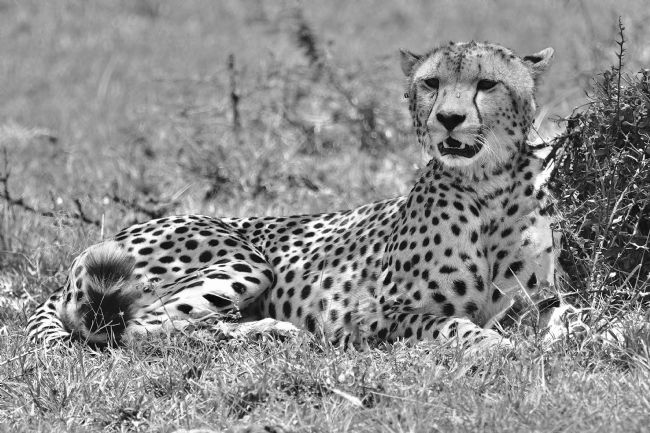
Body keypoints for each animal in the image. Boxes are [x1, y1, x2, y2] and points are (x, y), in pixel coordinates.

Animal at [26, 41, 578, 351]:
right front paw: (495, 345)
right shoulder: (370, 314)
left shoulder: (540, 298)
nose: (449, 119)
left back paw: (267, 330)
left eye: (487, 84)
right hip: (244, 261)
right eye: (431, 83)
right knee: (137, 327)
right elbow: (450, 326)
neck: (489, 186)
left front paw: (585, 337)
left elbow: (572, 315)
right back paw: (273, 333)